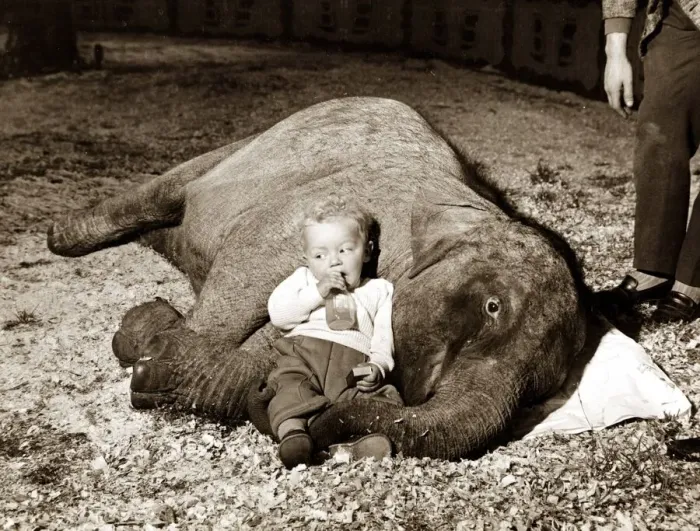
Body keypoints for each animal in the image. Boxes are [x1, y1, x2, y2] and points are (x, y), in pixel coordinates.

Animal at [47, 97, 588, 460]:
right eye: (493, 308)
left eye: (540, 393)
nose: (328, 422)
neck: (474, 212)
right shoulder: (349, 199)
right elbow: (256, 256)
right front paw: (149, 361)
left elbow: (283, 335)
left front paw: (151, 344)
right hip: (249, 147)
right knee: (165, 191)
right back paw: (60, 237)